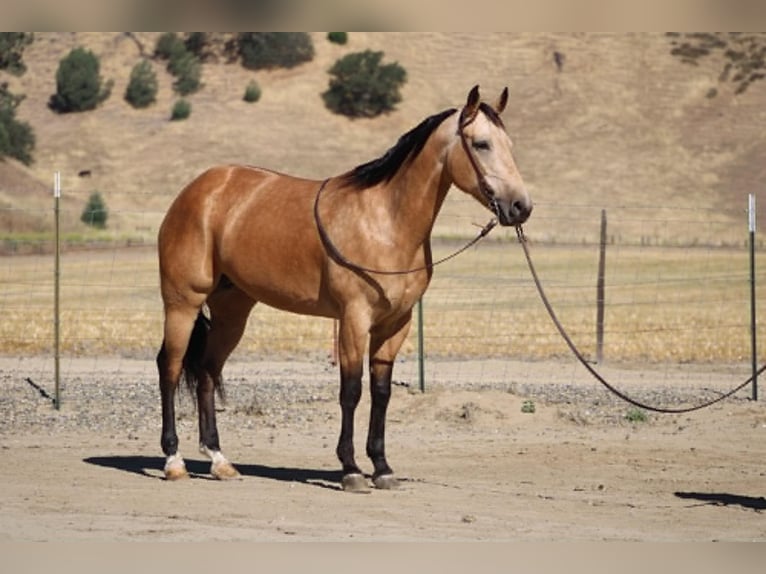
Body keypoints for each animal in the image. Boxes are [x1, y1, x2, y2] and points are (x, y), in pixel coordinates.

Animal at [156, 85, 532, 491]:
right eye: (481, 144)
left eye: (509, 144)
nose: (520, 207)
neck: (385, 221)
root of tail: (198, 190)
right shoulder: (354, 319)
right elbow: (351, 390)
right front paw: (350, 469)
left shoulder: (395, 325)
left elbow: (381, 392)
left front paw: (382, 467)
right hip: (183, 303)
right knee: (171, 367)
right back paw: (174, 461)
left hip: (232, 312)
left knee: (207, 371)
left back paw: (219, 460)